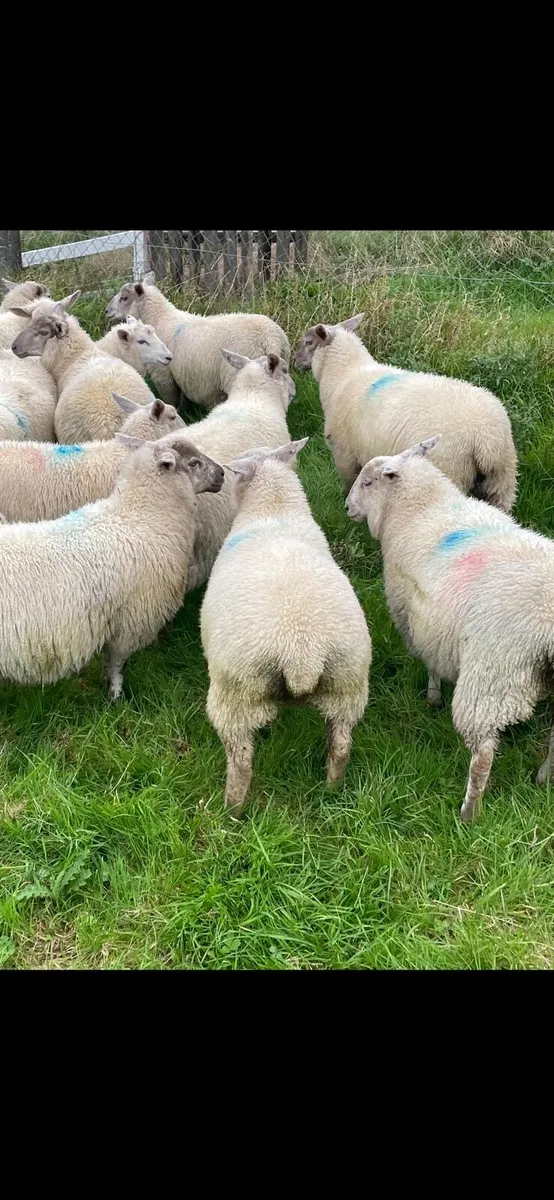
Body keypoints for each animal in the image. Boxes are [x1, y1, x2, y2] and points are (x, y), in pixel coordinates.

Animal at [0, 437, 224, 701]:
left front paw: (106, 685)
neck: (143, 515)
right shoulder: (131, 620)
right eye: (193, 462)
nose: (222, 473)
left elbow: (109, 662)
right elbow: (118, 663)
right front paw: (116, 697)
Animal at [105, 269, 291, 410]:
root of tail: (269, 337)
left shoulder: (162, 373)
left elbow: (170, 399)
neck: (160, 317)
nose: (106, 311)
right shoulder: (184, 374)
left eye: (124, 298)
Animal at [200, 439, 372, 815]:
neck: (274, 510)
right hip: (347, 686)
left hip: (236, 695)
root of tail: (301, 653)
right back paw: (331, 790)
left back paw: (231, 811)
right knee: (341, 745)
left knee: (241, 761)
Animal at [295, 314, 518, 512]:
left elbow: (350, 485)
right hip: (502, 482)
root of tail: (487, 441)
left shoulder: (345, 455)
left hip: (452, 468)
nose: (295, 362)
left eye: (308, 342)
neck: (344, 375)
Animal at [345, 435, 554, 823]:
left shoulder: (415, 617)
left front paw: (432, 696)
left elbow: (429, 662)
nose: (347, 507)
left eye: (367, 482)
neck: (422, 508)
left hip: (492, 675)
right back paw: (545, 777)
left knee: (483, 752)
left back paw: (469, 812)